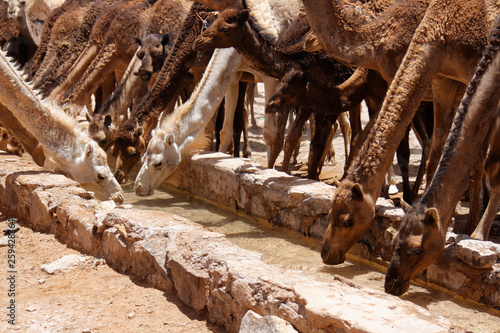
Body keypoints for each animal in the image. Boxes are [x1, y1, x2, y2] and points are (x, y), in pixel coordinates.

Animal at [298, 0, 498, 264]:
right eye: (330, 211)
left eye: (348, 220)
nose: (326, 253)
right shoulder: (441, 81)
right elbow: (435, 153)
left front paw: (468, 228)